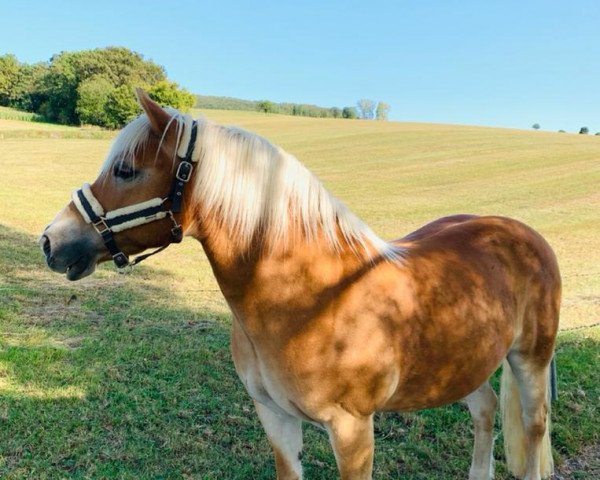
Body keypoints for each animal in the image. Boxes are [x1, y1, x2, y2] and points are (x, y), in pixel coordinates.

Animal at [39, 89, 560, 476]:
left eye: (125, 170)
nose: (50, 241)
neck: (310, 299)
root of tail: (523, 233)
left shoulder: (352, 431)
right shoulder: (276, 417)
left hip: (529, 362)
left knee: (534, 432)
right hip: (464, 365)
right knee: (485, 409)